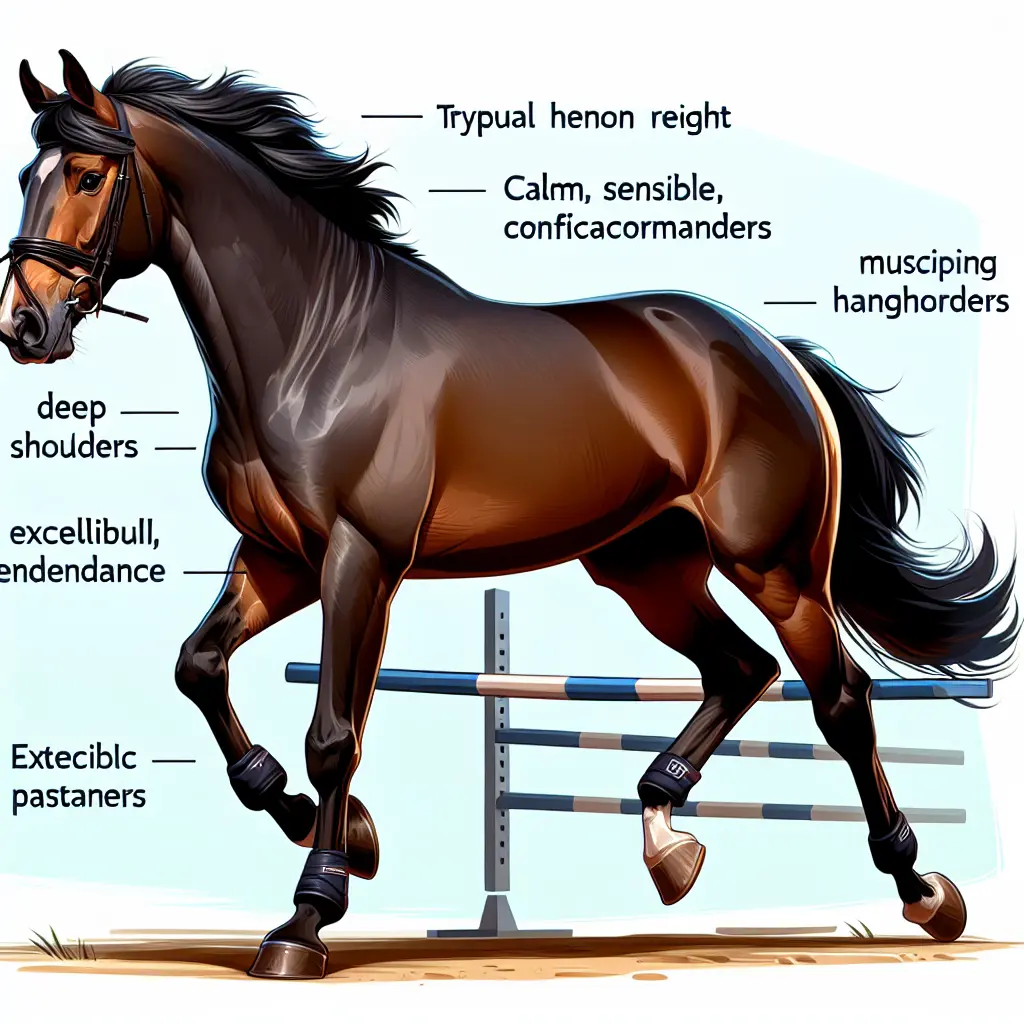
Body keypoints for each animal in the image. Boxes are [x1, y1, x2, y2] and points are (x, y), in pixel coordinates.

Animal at [2, 50, 1017, 980]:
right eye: (25, 177)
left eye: (88, 175)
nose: (25, 328)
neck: (314, 345)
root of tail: (771, 351)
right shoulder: (276, 557)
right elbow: (199, 667)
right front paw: (330, 829)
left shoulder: (360, 563)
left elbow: (334, 734)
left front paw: (308, 914)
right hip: (648, 568)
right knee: (740, 668)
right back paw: (667, 840)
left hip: (776, 566)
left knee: (840, 699)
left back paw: (922, 892)